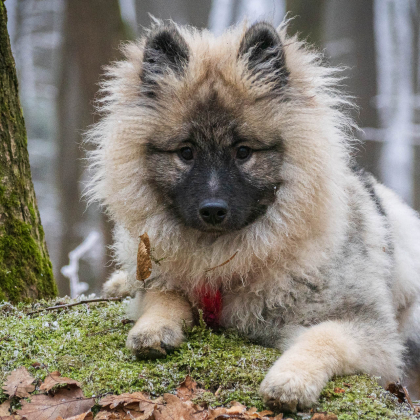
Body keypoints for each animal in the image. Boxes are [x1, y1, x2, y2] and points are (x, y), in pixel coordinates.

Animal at [86, 20, 420, 410]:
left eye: (243, 151)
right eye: (186, 152)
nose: (213, 210)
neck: (223, 259)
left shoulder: (368, 329)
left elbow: (323, 337)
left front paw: (290, 380)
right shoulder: (164, 275)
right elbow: (162, 294)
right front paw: (154, 327)